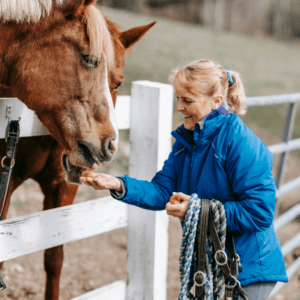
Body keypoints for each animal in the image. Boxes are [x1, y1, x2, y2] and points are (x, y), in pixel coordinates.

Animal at [0, 1, 155, 298]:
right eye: (89, 58)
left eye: (118, 83)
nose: (110, 145)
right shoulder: (6, 181)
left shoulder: (62, 186)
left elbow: (54, 259)